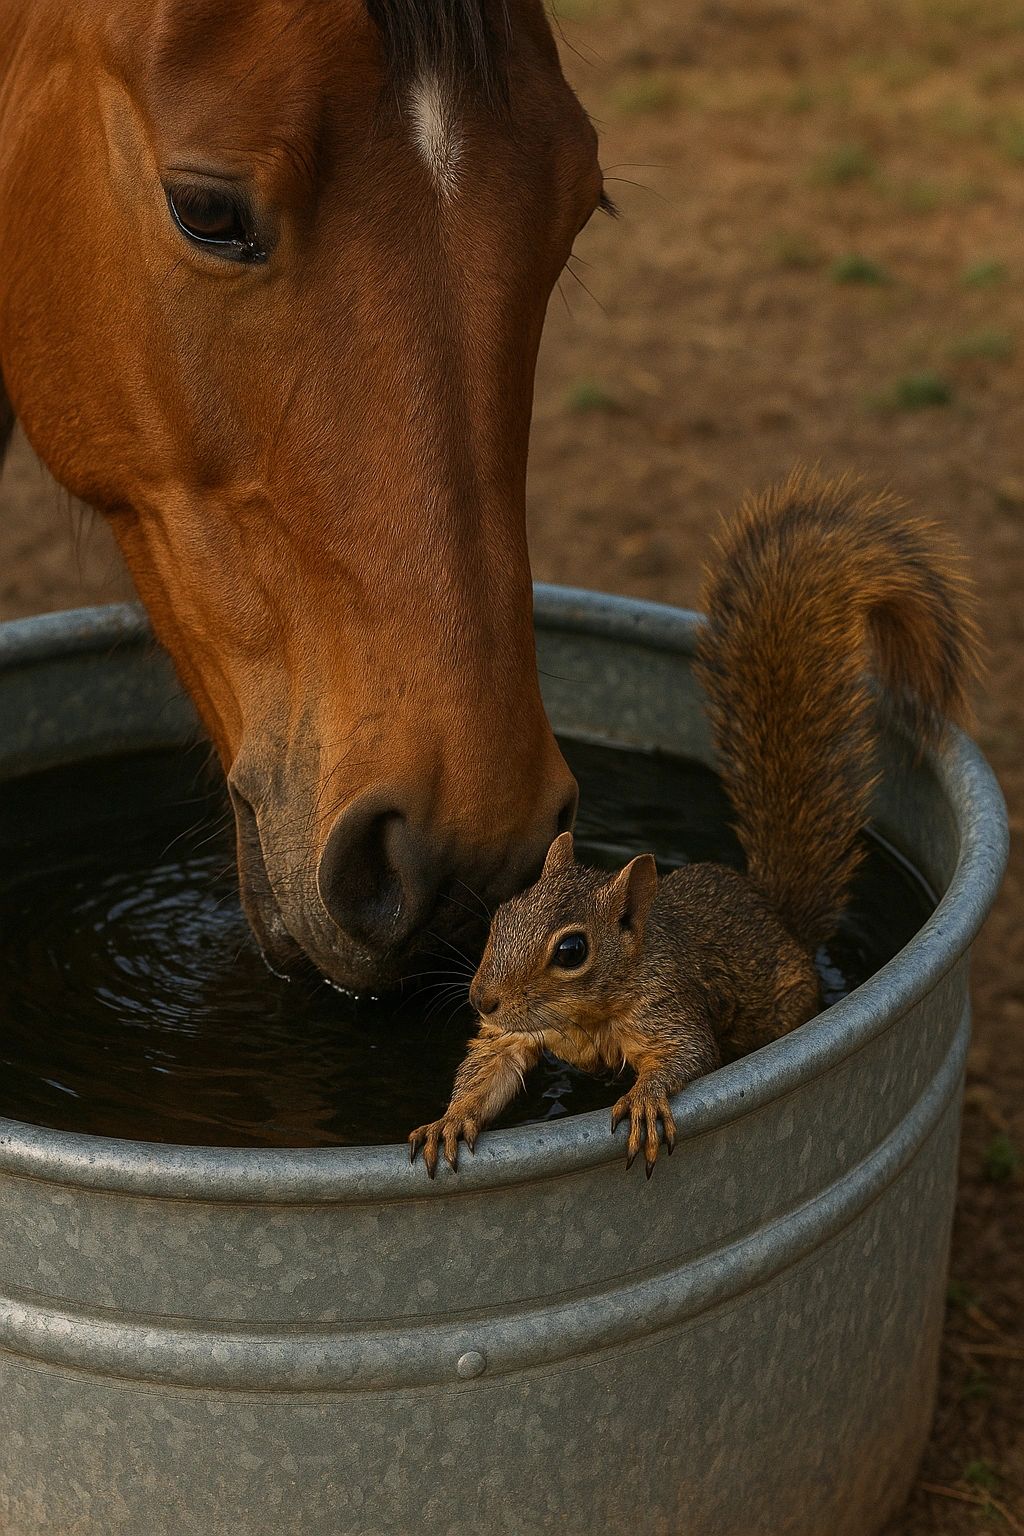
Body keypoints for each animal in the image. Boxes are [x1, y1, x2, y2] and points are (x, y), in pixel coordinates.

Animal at [408, 471, 978, 1178]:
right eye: (500, 918)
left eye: (572, 951)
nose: (482, 1001)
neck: (587, 1015)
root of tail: (778, 916)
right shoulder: (522, 1033)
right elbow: (491, 1067)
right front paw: (450, 1118)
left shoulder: (669, 1004)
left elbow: (687, 1054)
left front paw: (646, 1099)